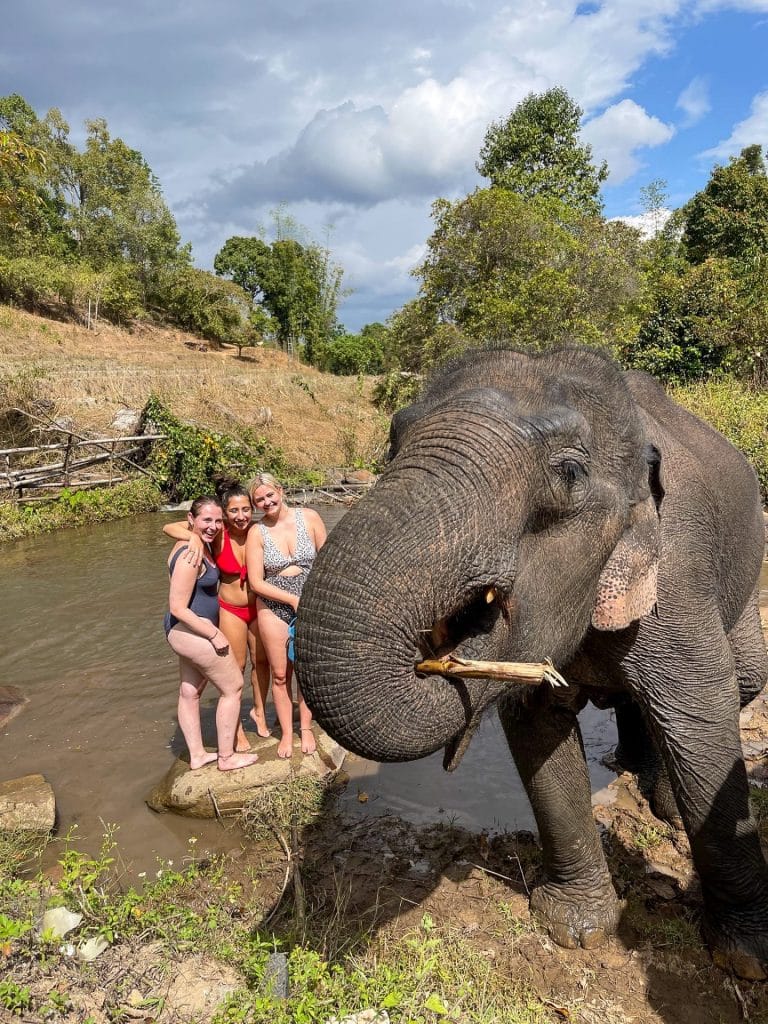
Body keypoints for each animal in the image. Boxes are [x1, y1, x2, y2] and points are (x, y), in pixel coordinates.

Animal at [294, 348, 768, 978]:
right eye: (392, 445)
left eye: (568, 473)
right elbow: (536, 727)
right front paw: (574, 930)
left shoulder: (679, 576)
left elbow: (701, 712)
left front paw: (745, 957)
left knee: (743, 681)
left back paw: (664, 806)